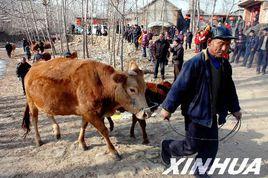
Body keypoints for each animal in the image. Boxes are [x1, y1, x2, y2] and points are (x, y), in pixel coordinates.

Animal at [21, 58, 150, 160]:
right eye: (132, 89)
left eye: (145, 88)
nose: (146, 113)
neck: (101, 84)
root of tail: (32, 69)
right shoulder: (90, 112)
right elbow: (104, 130)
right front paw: (113, 151)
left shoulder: (87, 112)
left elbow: (83, 125)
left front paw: (81, 142)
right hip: (31, 102)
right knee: (35, 120)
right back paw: (38, 140)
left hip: (46, 102)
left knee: (49, 113)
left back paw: (56, 130)